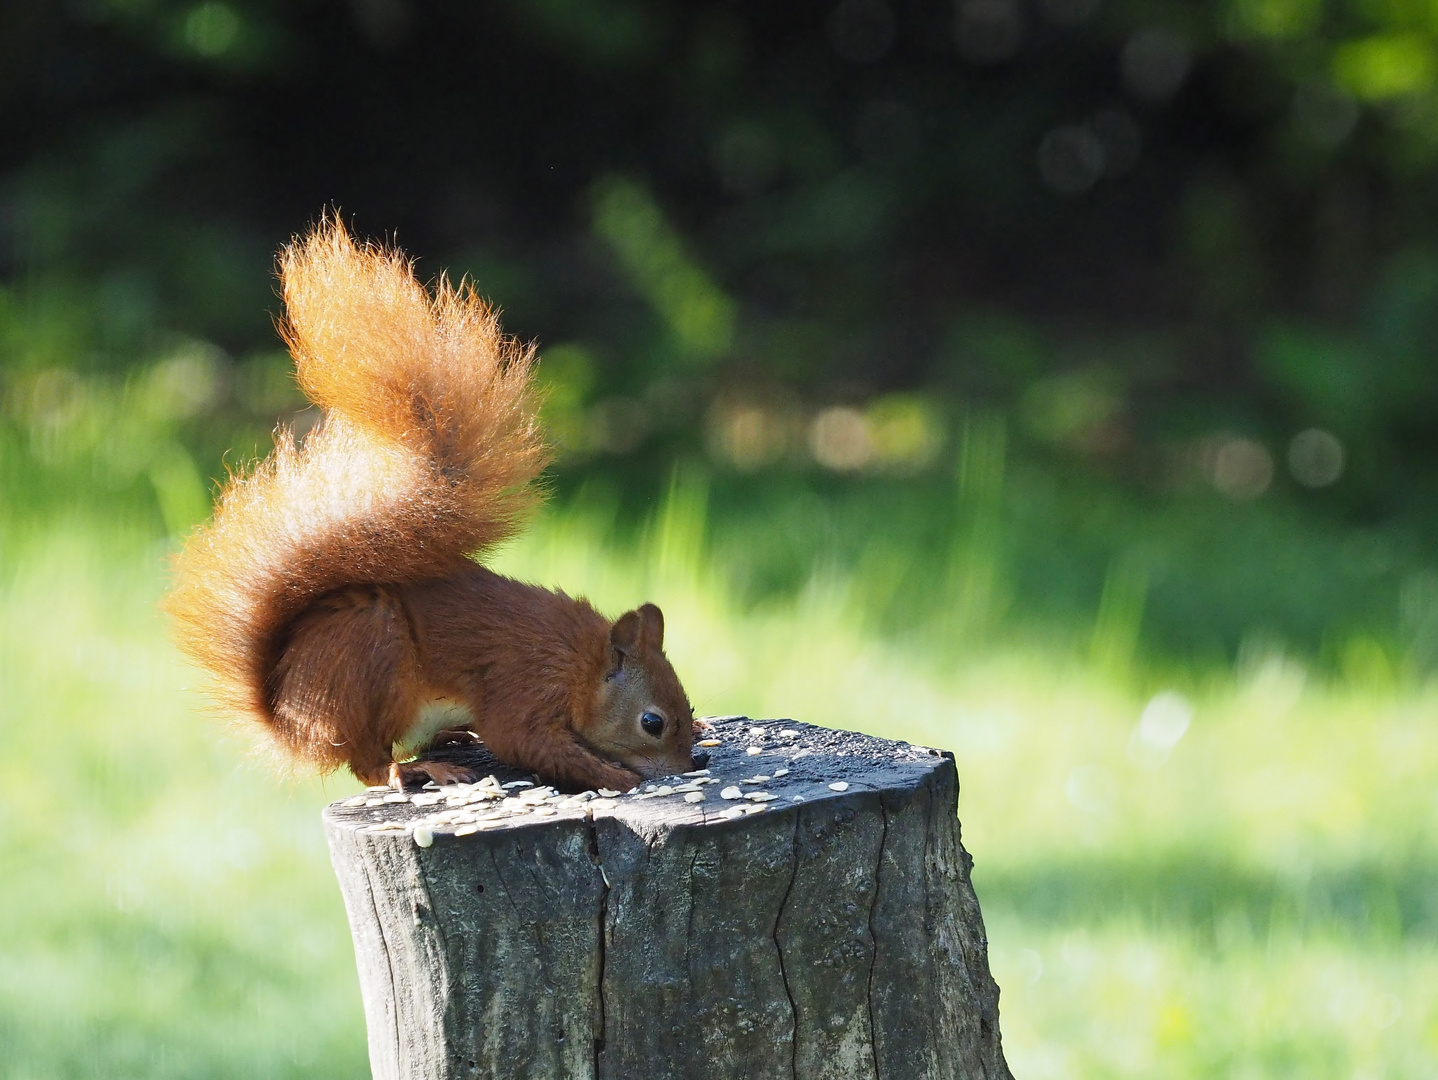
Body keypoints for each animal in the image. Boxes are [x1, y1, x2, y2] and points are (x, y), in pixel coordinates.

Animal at [163, 220, 701, 793]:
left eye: (687, 708)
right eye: (652, 722)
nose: (687, 766)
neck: (580, 661)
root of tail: (293, 724)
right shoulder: (524, 682)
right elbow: (520, 739)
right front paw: (613, 775)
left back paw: (449, 739)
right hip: (371, 663)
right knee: (369, 766)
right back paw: (421, 767)